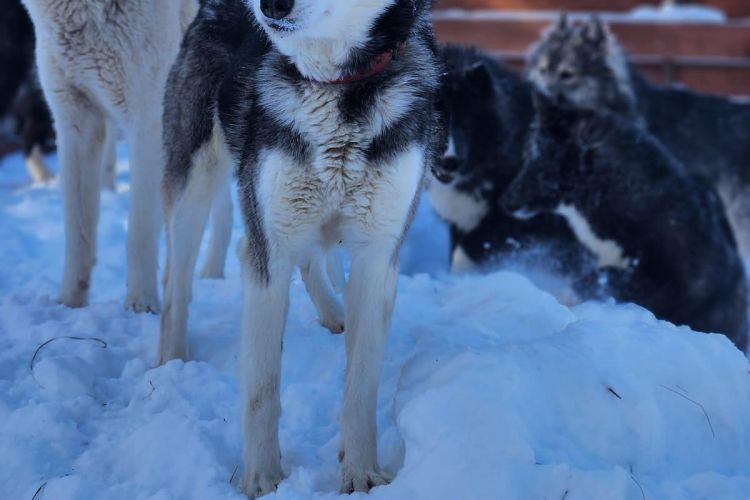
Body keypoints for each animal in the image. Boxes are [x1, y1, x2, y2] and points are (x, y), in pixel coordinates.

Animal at [21, 0, 201, 310]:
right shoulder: (75, 121)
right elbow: (77, 232)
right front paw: (69, 303)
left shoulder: (148, 123)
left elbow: (139, 230)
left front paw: (141, 305)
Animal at [163, 0, 446, 496]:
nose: (272, 6)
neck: (334, 86)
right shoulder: (271, 251)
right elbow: (262, 385)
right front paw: (263, 480)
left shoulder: (377, 255)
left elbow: (361, 385)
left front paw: (362, 473)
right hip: (198, 182)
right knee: (179, 276)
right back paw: (172, 357)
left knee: (302, 256)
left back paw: (334, 312)